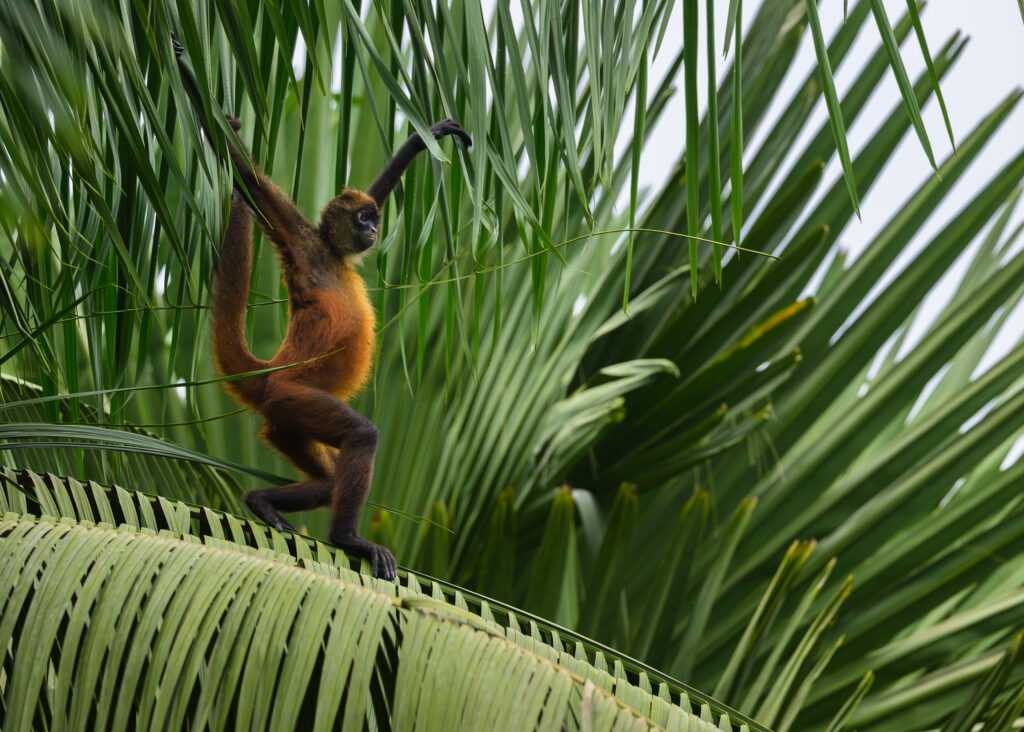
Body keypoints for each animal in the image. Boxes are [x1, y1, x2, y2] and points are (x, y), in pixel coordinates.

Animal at [174, 40, 471, 580]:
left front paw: (421, 141)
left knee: (330, 481)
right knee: (361, 435)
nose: (373, 231)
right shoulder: (300, 241)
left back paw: (261, 500)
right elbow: (252, 181)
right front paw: (184, 63)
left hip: (284, 424)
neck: (332, 256)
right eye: (362, 220)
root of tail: (271, 372)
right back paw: (346, 538)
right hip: (294, 399)